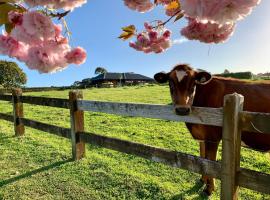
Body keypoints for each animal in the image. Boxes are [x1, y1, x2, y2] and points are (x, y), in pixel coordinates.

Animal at [154, 63, 270, 195]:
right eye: (171, 83)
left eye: (193, 84)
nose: (182, 109)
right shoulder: (202, 137)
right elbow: (203, 158)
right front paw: (203, 179)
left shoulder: (213, 137)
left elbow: (211, 162)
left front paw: (209, 189)